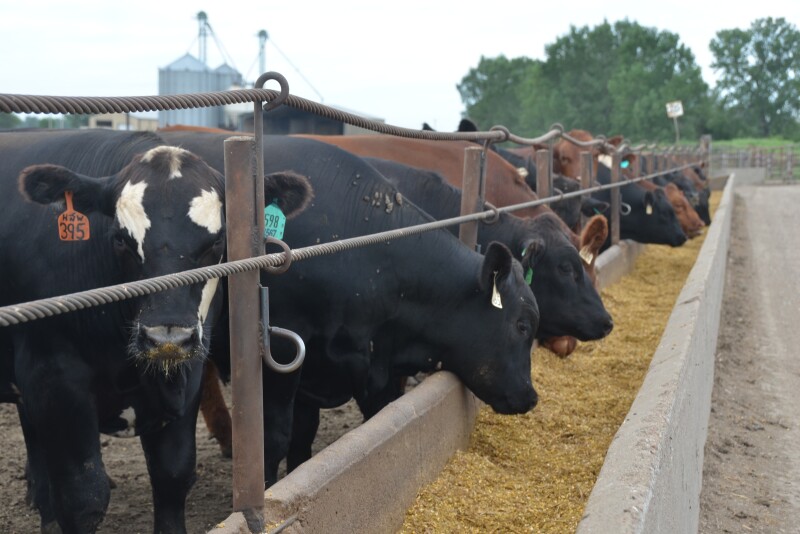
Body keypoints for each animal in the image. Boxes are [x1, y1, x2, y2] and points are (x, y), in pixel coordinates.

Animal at [0, 129, 313, 534]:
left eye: (216, 242)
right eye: (121, 238)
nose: (167, 337)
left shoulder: (187, 372)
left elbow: (172, 474)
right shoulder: (52, 376)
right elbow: (83, 496)